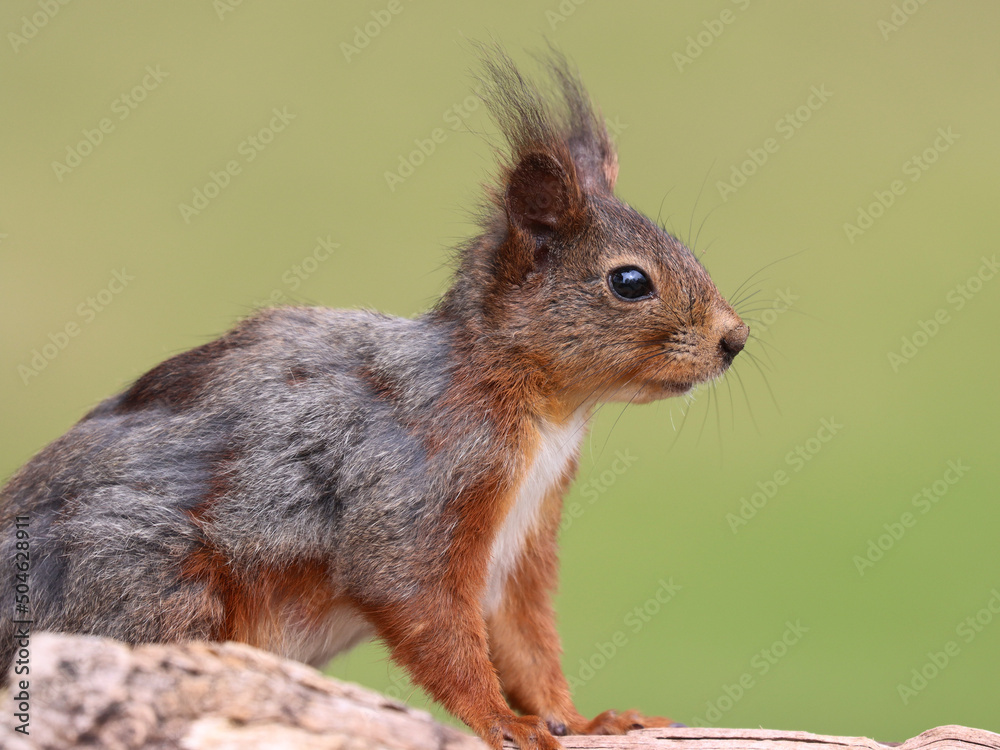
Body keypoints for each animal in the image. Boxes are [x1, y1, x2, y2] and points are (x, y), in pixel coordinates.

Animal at [0, 48, 748, 749]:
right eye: (630, 282)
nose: (735, 339)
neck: (540, 412)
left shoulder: (521, 547)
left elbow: (527, 643)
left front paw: (586, 718)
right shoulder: (415, 487)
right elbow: (422, 609)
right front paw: (503, 722)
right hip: (145, 582)